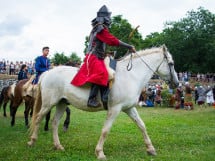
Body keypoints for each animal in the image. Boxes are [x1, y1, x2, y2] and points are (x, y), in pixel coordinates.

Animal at [27, 45, 178, 160]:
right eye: (171, 64)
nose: (176, 83)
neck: (131, 76)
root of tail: (47, 72)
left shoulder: (129, 108)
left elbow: (142, 125)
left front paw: (150, 149)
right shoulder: (115, 109)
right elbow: (106, 130)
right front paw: (99, 152)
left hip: (62, 103)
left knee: (54, 122)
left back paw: (58, 146)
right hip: (48, 104)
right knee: (39, 118)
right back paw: (32, 141)